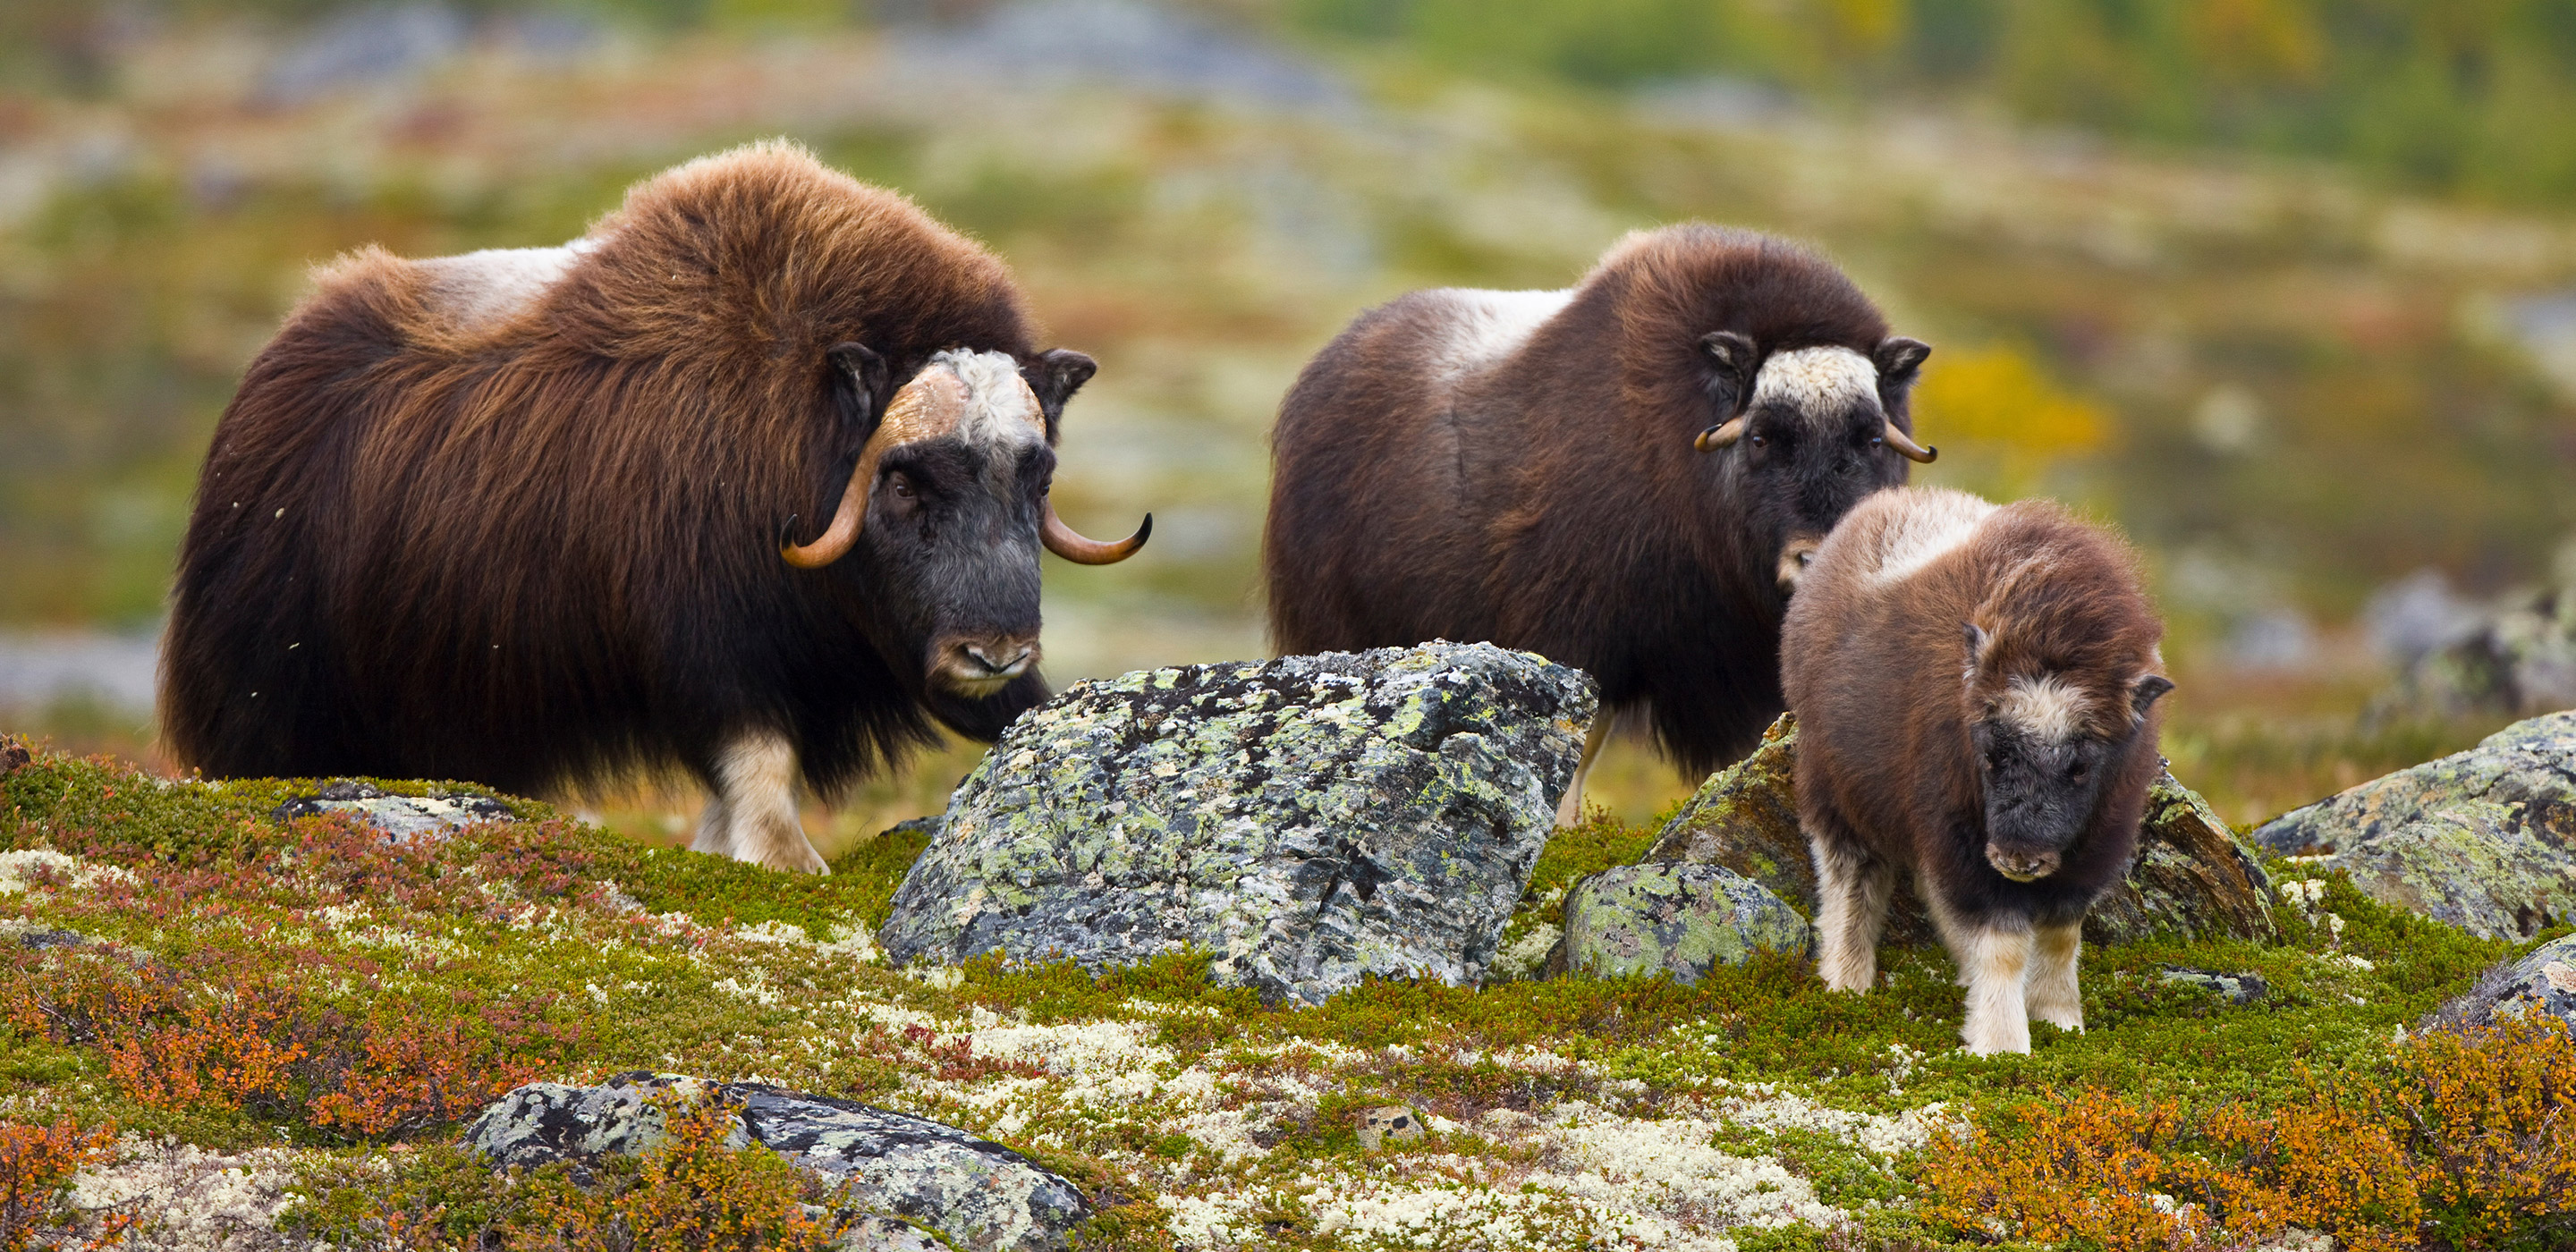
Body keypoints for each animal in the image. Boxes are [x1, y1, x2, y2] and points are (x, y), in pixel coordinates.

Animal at [161, 141, 1148, 870]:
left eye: (1038, 476)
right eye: (904, 480)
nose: (996, 653)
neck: (793, 429)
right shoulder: (711, 652)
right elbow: (761, 782)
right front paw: (785, 864)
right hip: (280, 699)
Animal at [1792, 484, 2174, 1051]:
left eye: (2081, 767)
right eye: (1993, 755)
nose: (2019, 859)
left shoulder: (2093, 848)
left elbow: (2061, 937)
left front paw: (2062, 1021)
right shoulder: (1961, 844)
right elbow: (2004, 946)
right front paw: (2002, 1046)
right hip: (1839, 796)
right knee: (1852, 881)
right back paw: (1847, 983)